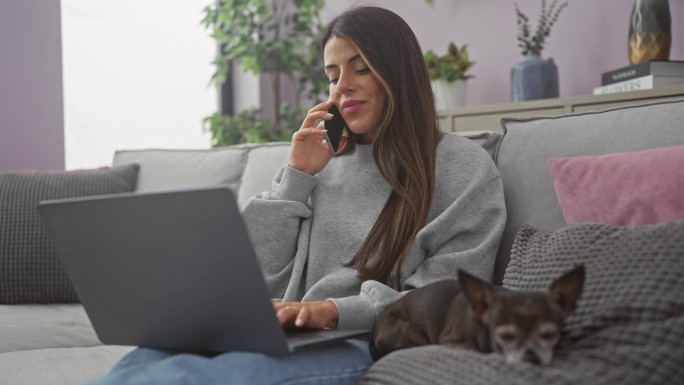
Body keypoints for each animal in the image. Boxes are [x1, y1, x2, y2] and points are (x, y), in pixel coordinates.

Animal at [372, 266, 584, 364]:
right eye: (505, 336)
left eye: (549, 334)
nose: (531, 354)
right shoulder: (449, 340)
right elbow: (471, 347)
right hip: (412, 332)